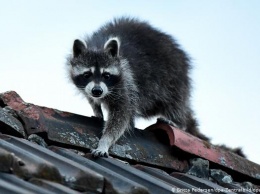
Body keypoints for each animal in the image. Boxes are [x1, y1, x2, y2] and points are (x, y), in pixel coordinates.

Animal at [66, 17, 209, 158]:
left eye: (106, 75)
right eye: (87, 75)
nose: (97, 91)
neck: (97, 46)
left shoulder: (125, 83)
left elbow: (121, 116)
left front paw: (105, 141)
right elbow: (91, 99)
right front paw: (96, 108)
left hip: (174, 77)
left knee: (176, 102)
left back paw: (178, 121)